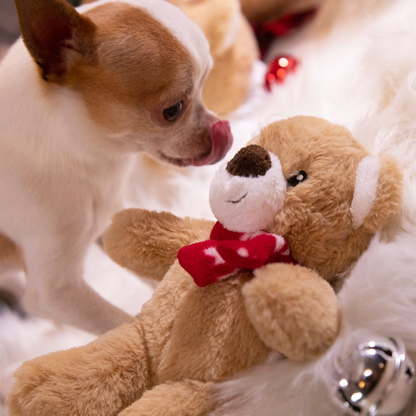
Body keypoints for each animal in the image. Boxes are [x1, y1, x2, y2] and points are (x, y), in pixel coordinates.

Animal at [0, 0, 232, 334]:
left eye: (206, 84)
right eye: (172, 110)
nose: (223, 131)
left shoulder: (106, 222)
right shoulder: (56, 293)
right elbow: (117, 323)